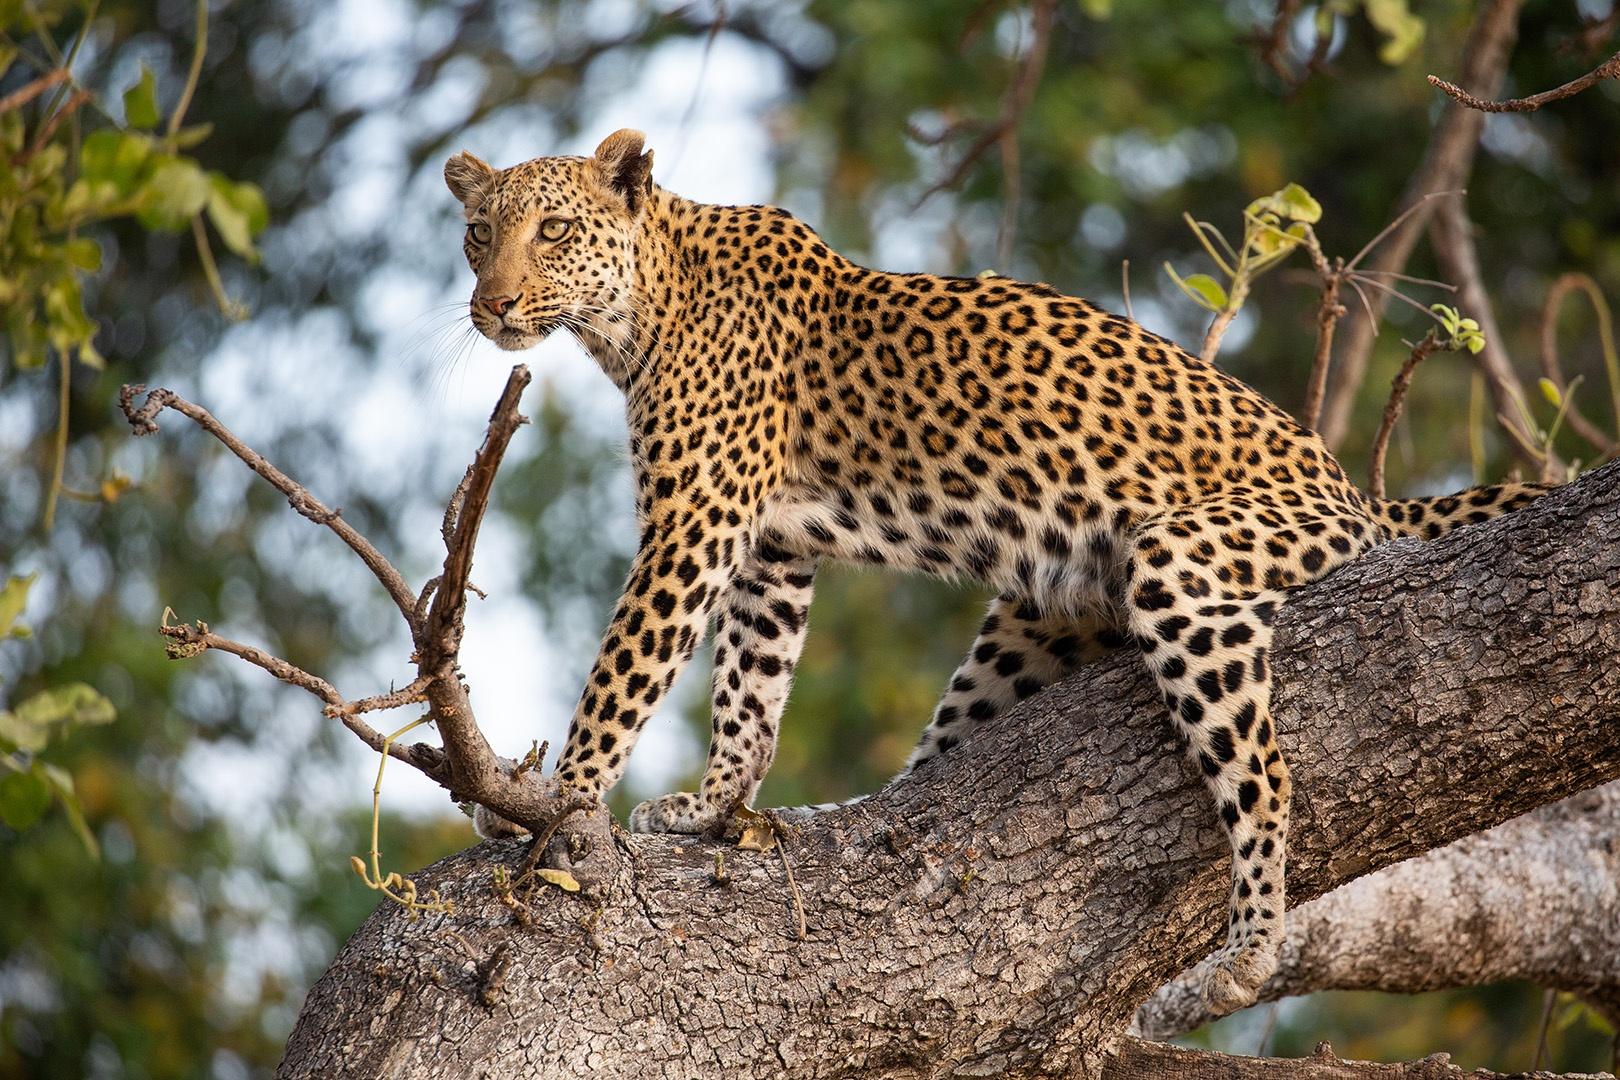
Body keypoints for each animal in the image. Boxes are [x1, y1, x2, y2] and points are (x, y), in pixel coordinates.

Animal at [440, 128, 1542, 1016]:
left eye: (552, 230)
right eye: (478, 234)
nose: (491, 304)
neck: (640, 311)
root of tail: (1359, 495)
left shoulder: (696, 526)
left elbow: (625, 675)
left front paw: (561, 802)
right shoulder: (772, 550)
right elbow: (751, 688)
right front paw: (714, 806)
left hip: (1186, 561)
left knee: (1265, 775)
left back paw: (1248, 947)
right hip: (1029, 624)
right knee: (948, 755)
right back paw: (847, 818)